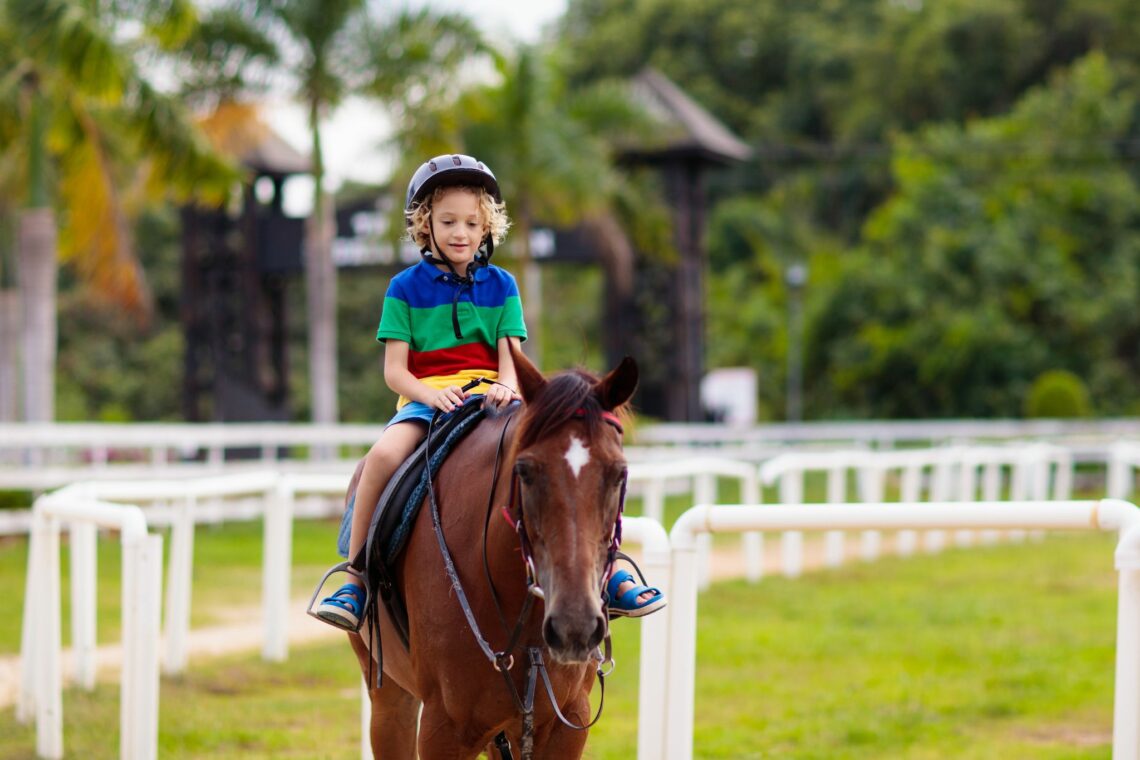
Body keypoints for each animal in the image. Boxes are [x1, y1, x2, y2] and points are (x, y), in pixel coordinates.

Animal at [346, 344, 638, 759]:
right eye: (525, 471)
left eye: (619, 473)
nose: (574, 625)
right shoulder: (443, 730)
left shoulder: (567, 723)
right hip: (390, 697)